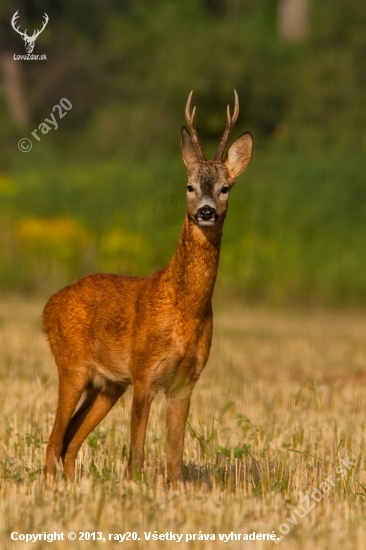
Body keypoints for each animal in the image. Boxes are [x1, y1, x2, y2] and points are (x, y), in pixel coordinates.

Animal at [43, 92, 252, 486]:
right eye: (189, 186)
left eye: (225, 188)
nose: (206, 212)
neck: (185, 309)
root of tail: (47, 307)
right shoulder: (144, 372)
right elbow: (136, 453)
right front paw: (135, 487)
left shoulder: (185, 381)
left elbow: (174, 457)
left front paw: (173, 490)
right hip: (72, 365)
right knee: (54, 439)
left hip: (107, 385)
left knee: (70, 440)